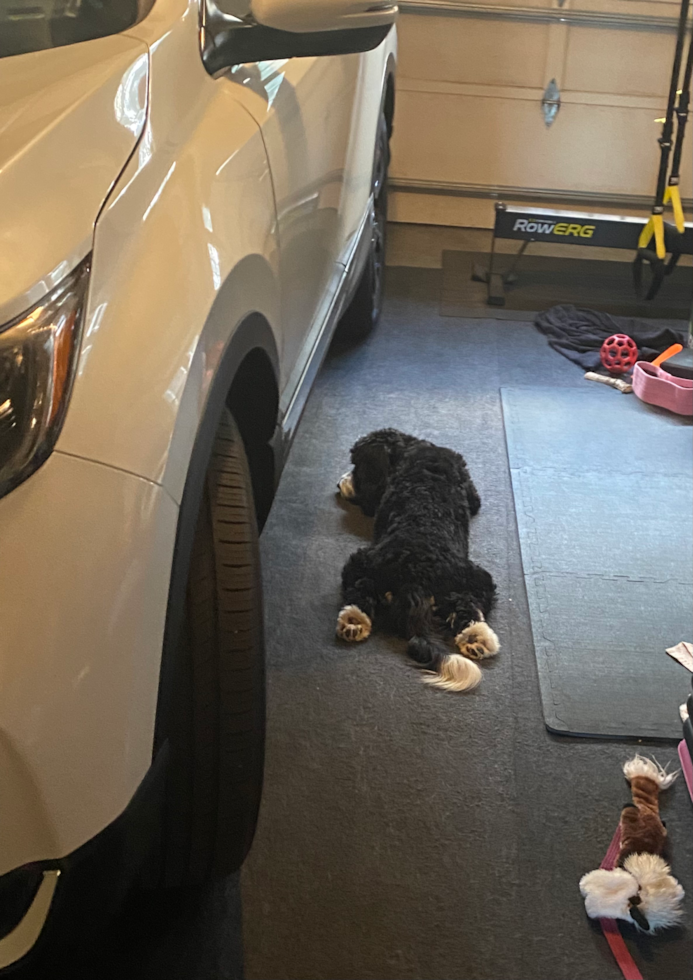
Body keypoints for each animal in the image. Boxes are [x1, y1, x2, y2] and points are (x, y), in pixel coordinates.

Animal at [336, 426, 498, 688]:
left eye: (357, 465)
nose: (339, 484)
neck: (408, 447)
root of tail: (415, 576)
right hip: (477, 576)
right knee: (470, 605)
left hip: (365, 563)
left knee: (362, 589)